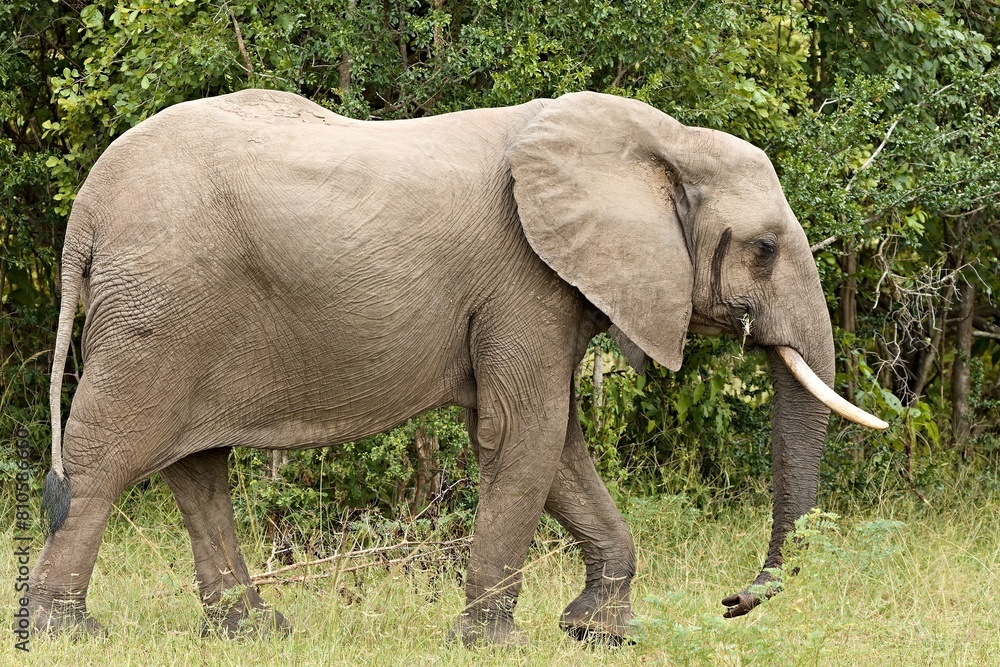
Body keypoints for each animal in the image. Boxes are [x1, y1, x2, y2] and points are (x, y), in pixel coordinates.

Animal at [31, 89, 885, 646]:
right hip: (159, 312)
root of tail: (85, 214)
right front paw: (495, 644)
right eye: (764, 249)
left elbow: (555, 442)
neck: (657, 140)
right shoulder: (524, 279)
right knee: (105, 458)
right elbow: (525, 433)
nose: (733, 601)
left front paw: (598, 633)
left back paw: (254, 631)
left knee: (198, 468)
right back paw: (66, 633)